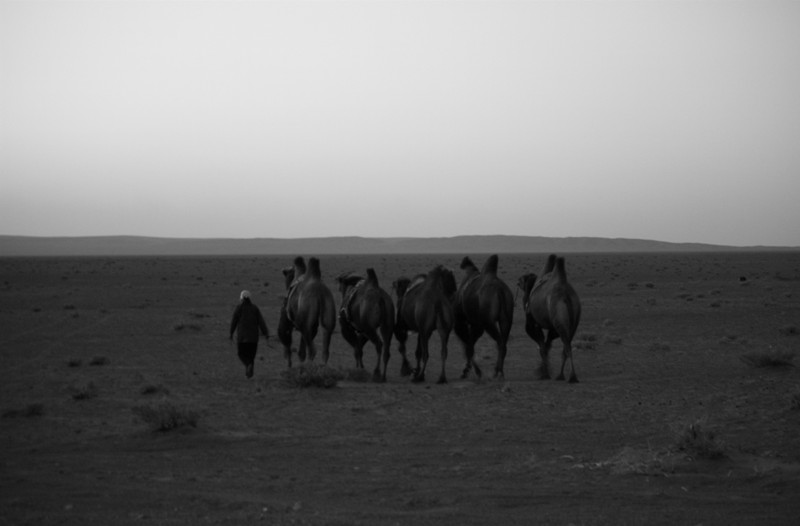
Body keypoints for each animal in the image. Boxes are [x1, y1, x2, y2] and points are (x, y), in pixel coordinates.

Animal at [520, 256, 580, 384]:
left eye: (522, 280)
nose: (518, 281)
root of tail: (566, 295)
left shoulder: (533, 323)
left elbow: (542, 347)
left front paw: (544, 374)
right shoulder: (552, 329)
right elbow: (547, 345)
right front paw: (544, 371)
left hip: (559, 315)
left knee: (567, 345)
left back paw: (570, 376)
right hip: (573, 320)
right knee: (566, 345)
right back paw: (561, 375)